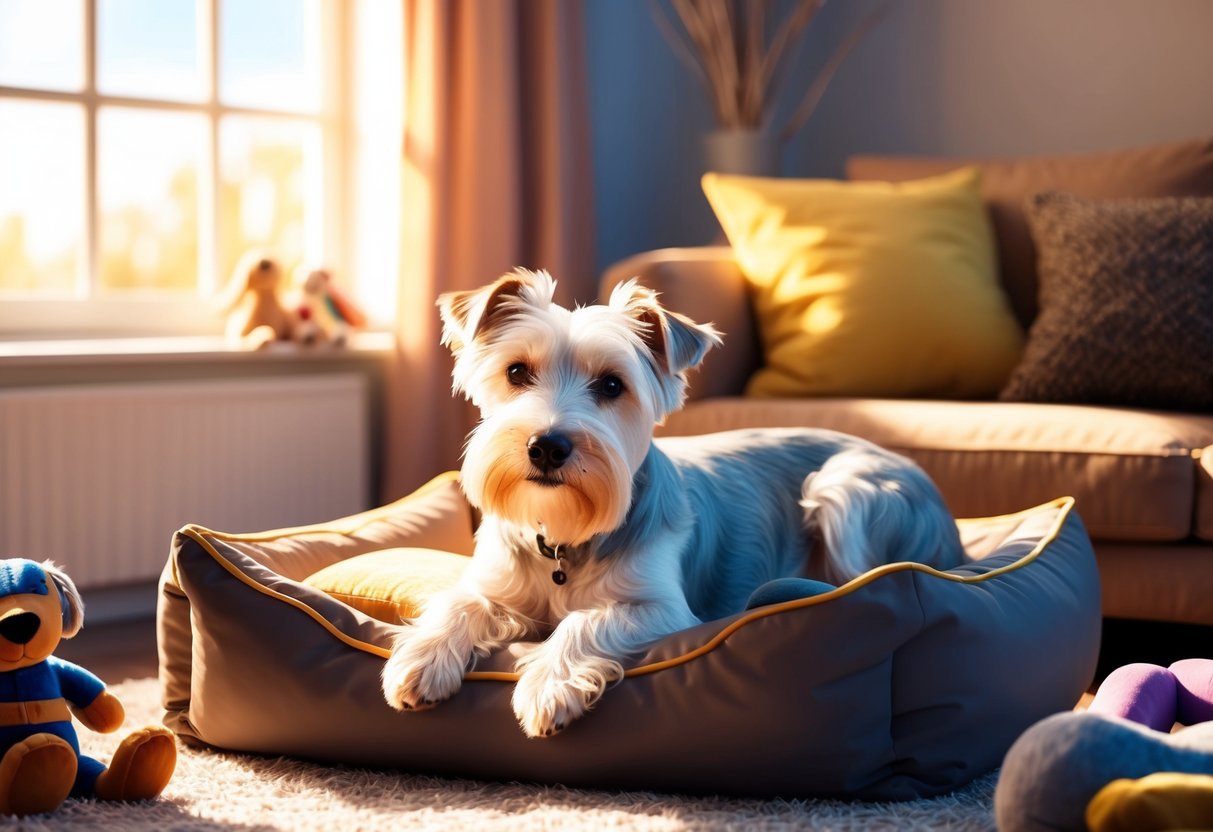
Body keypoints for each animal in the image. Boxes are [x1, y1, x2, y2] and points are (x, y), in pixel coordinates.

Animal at [380, 270, 965, 742]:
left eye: (611, 384)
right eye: (517, 372)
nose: (547, 445)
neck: (566, 536)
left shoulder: (660, 609)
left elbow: (586, 621)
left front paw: (548, 683)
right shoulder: (495, 586)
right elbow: (458, 604)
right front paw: (421, 659)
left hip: (844, 491)